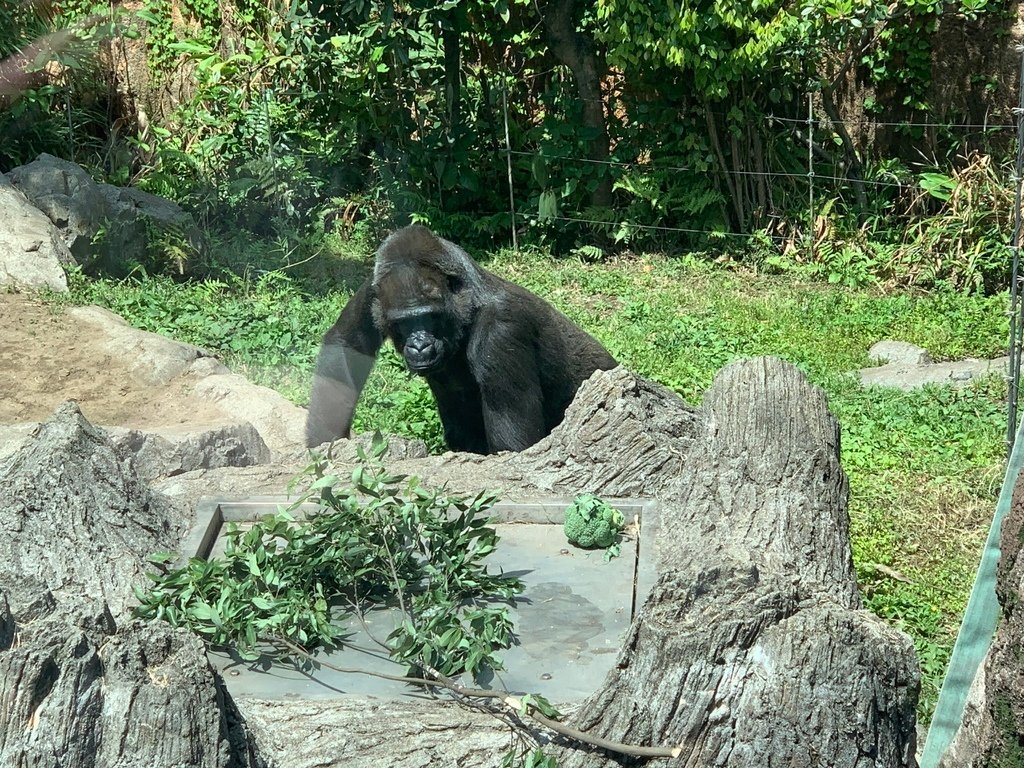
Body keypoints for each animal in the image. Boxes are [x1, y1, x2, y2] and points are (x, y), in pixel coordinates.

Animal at [305, 227, 614, 456]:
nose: (419, 345)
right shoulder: (373, 290)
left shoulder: (502, 328)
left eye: (431, 317)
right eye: (404, 323)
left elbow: (514, 447)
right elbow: (346, 345)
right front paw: (323, 446)